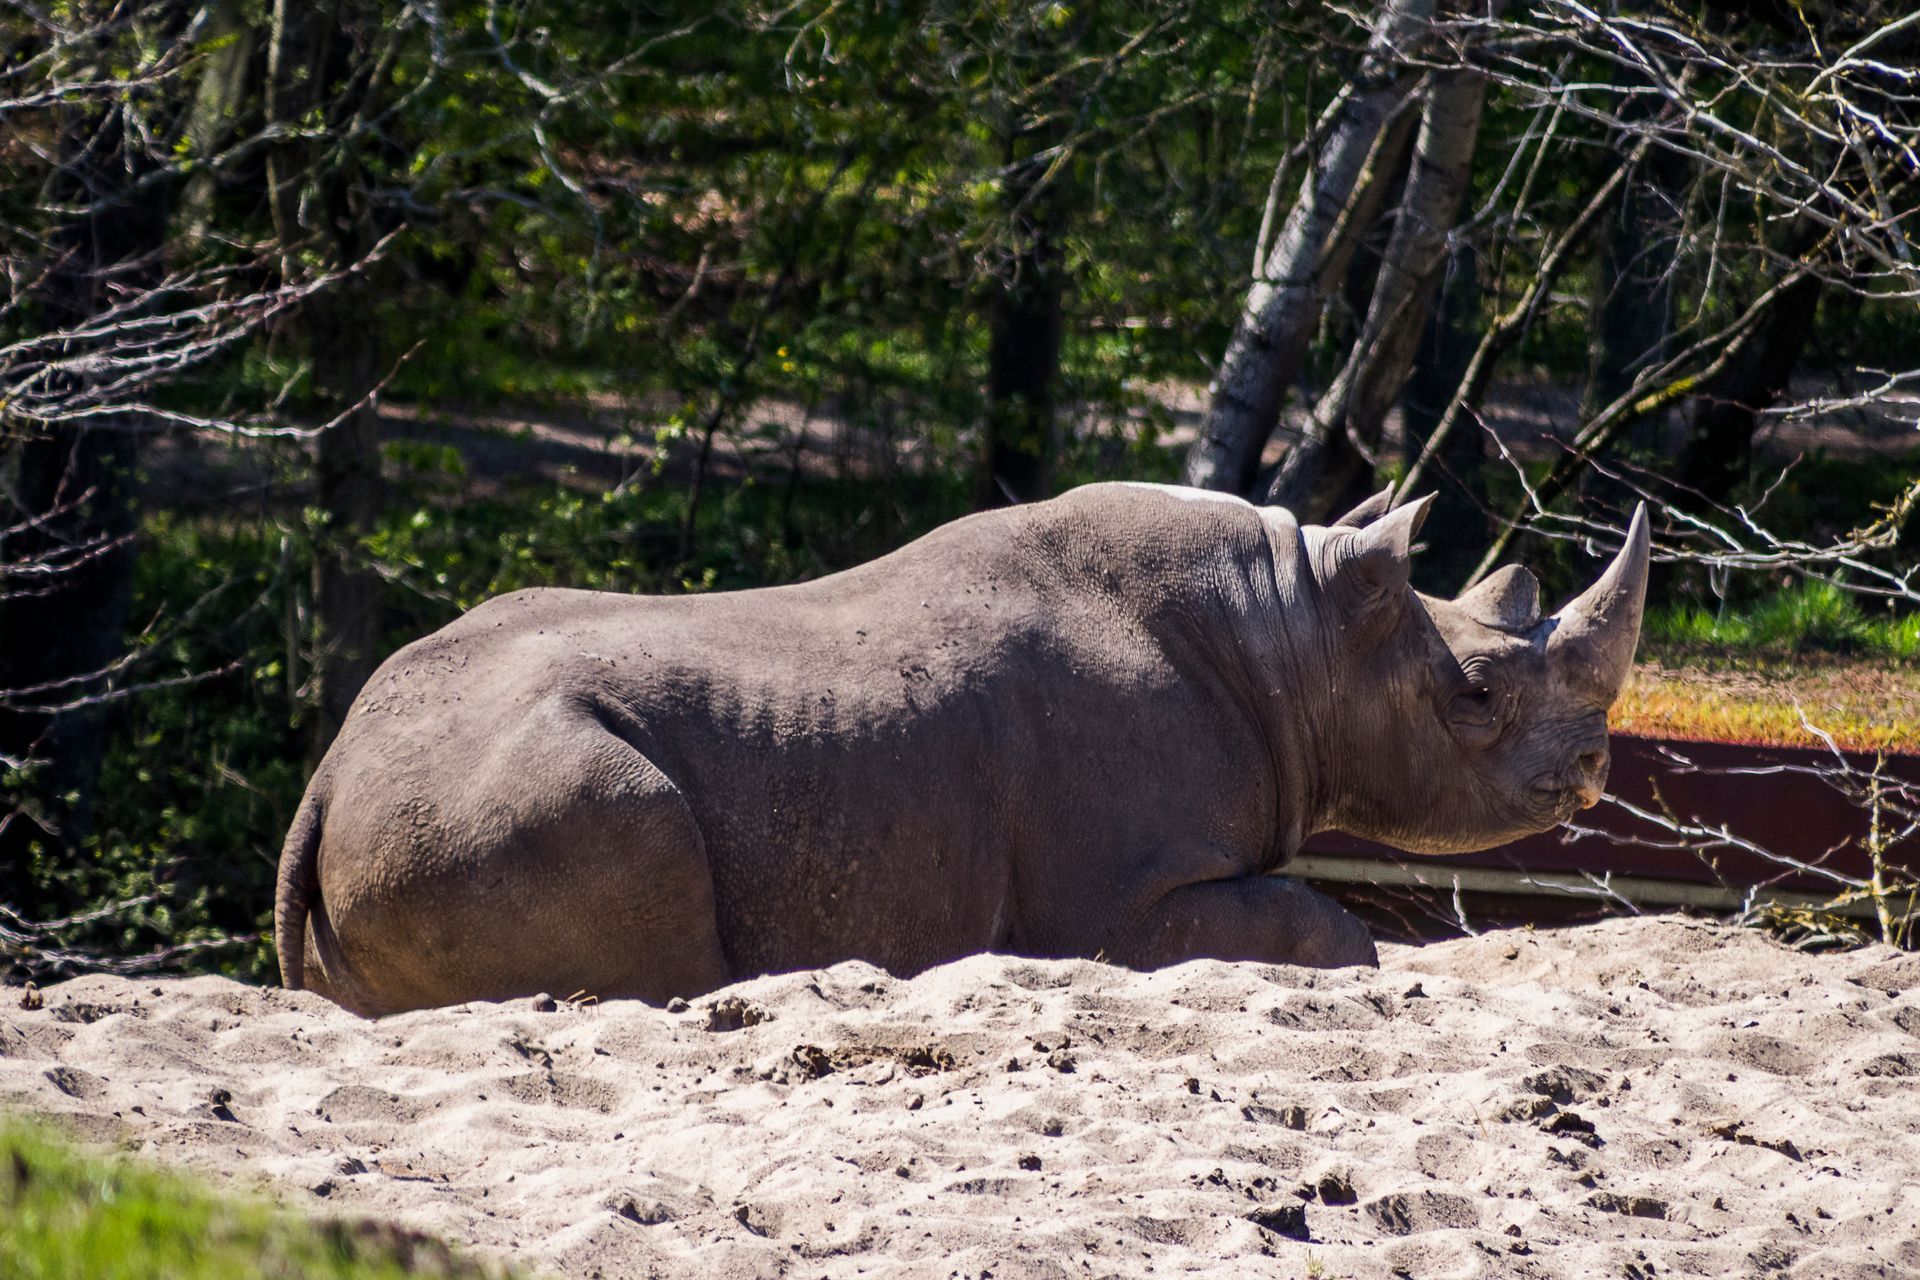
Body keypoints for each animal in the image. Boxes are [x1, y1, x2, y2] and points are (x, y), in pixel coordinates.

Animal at [275, 483, 1649, 1015]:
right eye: (1476, 693)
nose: (1594, 770)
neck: (1295, 635)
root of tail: (328, 778)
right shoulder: (1124, 899)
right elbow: (1335, 934)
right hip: (511, 788)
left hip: (422, 785)